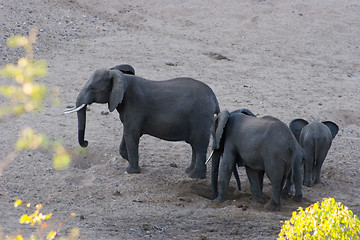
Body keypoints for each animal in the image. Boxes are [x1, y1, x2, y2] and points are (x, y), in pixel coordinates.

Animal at [64, 63, 219, 178]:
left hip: (200, 117)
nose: (86, 142)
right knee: (194, 146)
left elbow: (131, 134)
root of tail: (214, 99)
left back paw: (195, 177)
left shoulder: (134, 106)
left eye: (92, 88)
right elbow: (127, 135)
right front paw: (133, 164)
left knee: (199, 145)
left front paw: (132, 171)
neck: (122, 78)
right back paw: (188, 171)